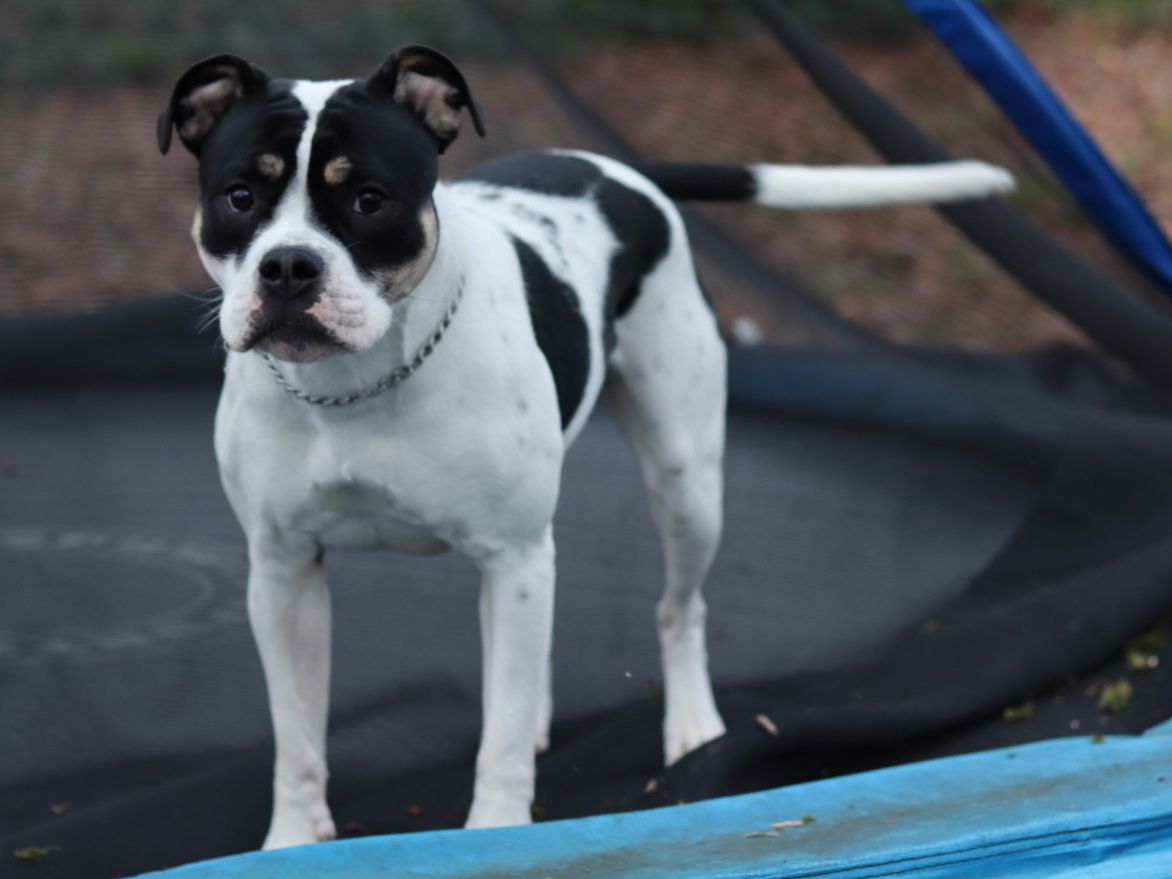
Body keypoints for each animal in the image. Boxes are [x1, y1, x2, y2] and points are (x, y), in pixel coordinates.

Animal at [160, 44, 1012, 848]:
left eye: (369, 199)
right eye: (240, 197)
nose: (288, 266)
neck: (355, 386)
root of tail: (624, 174)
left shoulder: (508, 555)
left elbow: (498, 738)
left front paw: (497, 833)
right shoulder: (284, 573)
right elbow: (297, 734)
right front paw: (292, 840)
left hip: (685, 482)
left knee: (679, 607)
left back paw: (692, 726)